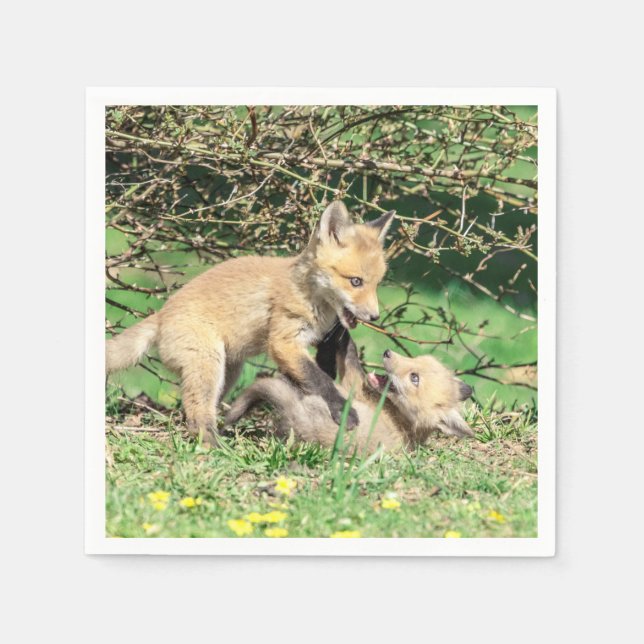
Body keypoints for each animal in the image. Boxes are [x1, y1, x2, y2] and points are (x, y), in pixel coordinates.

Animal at [106, 201, 395, 445]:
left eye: (376, 284)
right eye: (355, 281)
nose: (374, 317)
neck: (310, 297)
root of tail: (162, 314)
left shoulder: (320, 337)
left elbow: (322, 368)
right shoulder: (283, 341)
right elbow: (319, 379)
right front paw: (342, 410)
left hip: (228, 371)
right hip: (208, 364)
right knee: (196, 412)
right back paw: (213, 445)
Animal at [224, 328, 474, 453]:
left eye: (415, 378)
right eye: (416, 360)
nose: (387, 353)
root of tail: (296, 416)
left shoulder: (354, 385)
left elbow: (350, 355)